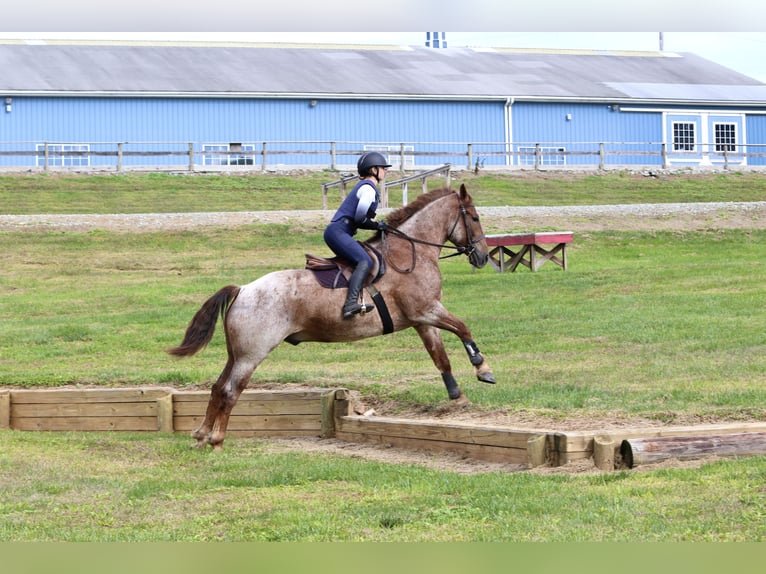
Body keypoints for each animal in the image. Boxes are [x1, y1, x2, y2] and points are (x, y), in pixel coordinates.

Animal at [168, 184, 495, 450]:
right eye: (475, 218)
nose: (482, 257)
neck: (410, 253)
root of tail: (244, 290)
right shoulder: (426, 310)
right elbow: (463, 328)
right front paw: (483, 369)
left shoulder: (422, 319)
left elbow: (441, 357)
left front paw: (458, 396)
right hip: (252, 354)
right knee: (230, 391)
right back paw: (216, 440)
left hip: (236, 353)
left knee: (216, 388)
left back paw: (201, 435)